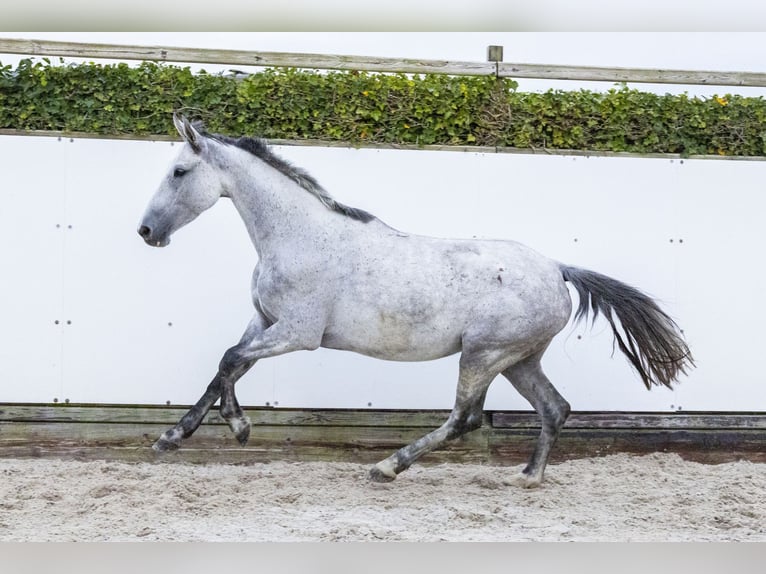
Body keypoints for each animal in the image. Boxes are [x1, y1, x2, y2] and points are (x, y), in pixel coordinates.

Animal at [138, 115, 696, 488]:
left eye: (179, 172)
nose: (146, 232)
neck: (300, 237)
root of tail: (558, 269)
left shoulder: (298, 332)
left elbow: (228, 361)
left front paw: (219, 431)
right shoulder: (264, 322)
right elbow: (227, 367)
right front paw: (193, 433)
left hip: (483, 354)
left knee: (465, 418)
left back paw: (388, 466)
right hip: (519, 359)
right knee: (554, 408)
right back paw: (527, 477)